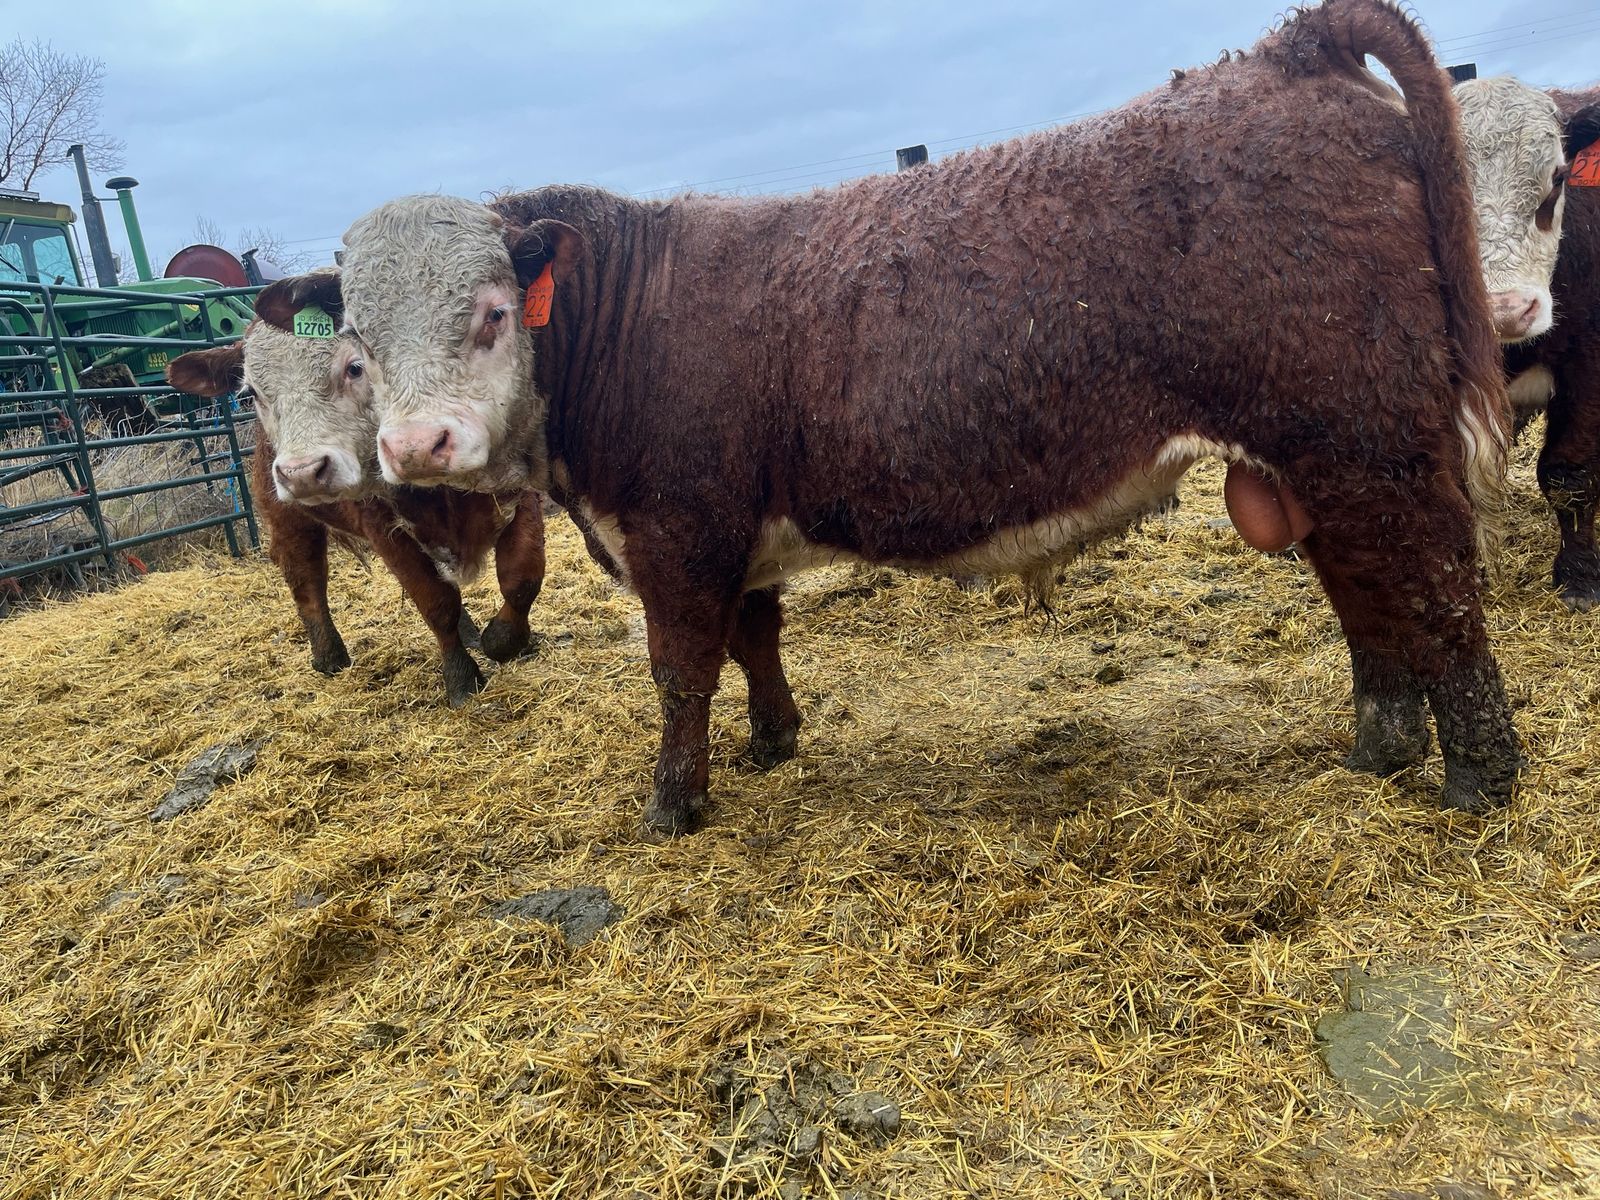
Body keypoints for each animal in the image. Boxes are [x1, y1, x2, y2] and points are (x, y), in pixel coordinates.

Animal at [167, 278, 547, 708]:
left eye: (355, 367)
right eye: (253, 394)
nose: (302, 472)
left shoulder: (521, 494)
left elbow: (522, 578)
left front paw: (503, 640)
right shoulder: (384, 529)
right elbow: (435, 602)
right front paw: (462, 677)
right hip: (287, 518)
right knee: (306, 578)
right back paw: (328, 656)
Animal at [306, 0, 1530, 834]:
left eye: (490, 312)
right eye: (355, 345)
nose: (418, 446)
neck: (630, 323)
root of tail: (1288, 51)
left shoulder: (680, 530)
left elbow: (681, 668)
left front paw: (672, 806)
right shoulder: (736, 531)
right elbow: (755, 638)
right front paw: (774, 742)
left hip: (1367, 437)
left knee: (1435, 584)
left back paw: (1479, 777)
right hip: (1311, 453)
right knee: (1365, 590)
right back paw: (1379, 747)